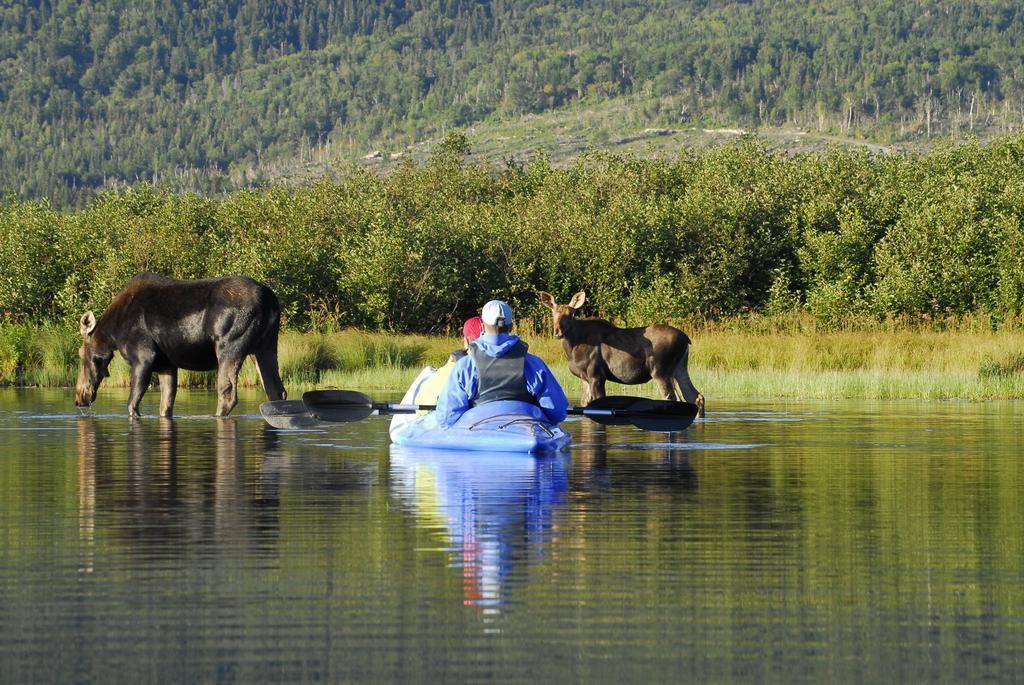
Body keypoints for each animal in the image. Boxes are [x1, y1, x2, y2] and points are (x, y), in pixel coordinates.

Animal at [74, 272, 288, 417]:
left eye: (81, 354)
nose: (79, 398)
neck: (112, 334)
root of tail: (271, 302)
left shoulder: (143, 357)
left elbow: (132, 404)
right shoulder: (166, 364)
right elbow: (166, 405)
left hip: (230, 346)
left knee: (227, 393)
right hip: (266, 347)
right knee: (276, 390)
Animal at [536, 288, 704, 417]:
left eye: (571, 314)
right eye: (553, 312)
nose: (558, 332)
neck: (572, 348)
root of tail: (686, 339)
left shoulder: (596, 375)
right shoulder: (585, 378)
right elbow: (584, 404)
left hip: (660, 371)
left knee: (671, 397)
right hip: (679, 368)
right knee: (695, 396)